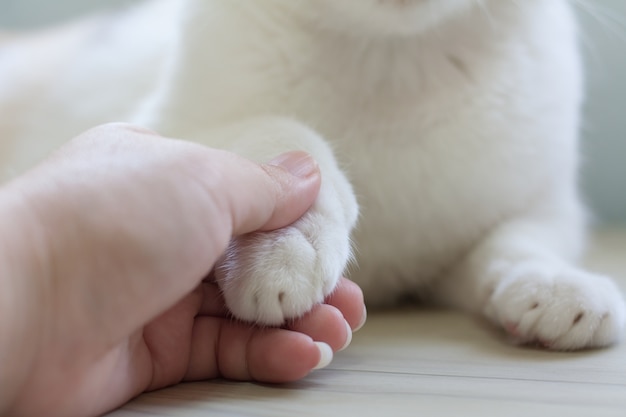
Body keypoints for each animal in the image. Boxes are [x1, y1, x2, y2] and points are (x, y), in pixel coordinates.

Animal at [0, 0, 620, 350]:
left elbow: (520, 240)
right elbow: (287, 131)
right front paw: (288, 244)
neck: (391, 66)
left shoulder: (539, 203)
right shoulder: (161, 126)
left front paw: (556, 285)